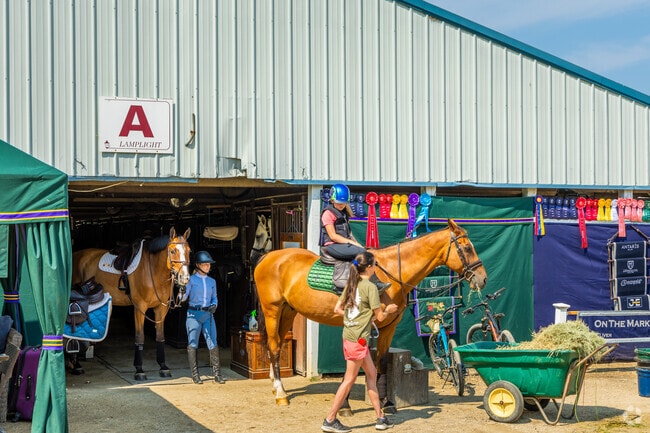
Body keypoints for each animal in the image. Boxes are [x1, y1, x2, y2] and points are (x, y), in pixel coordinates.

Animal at [71, 227, 191, 380]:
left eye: (189, 251)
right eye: (172, 251)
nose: (184, 278)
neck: (152, 269)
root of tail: (76, 255)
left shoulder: (160, 309)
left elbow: (160, 337)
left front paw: (163, 367)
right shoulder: (140, 307)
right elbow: (140, 337)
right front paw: (139, 370)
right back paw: (76, 366)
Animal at [253, 219, 487, 406]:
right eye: (467, 248)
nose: (482, 278)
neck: (390, 272)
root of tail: (268, 257)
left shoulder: (387, 327)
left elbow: (380, 363)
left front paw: (383, 400)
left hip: (288, 311)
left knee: (278, 343)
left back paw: (276, 384)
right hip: (272, 310)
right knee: (274, 347)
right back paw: (281, 393)